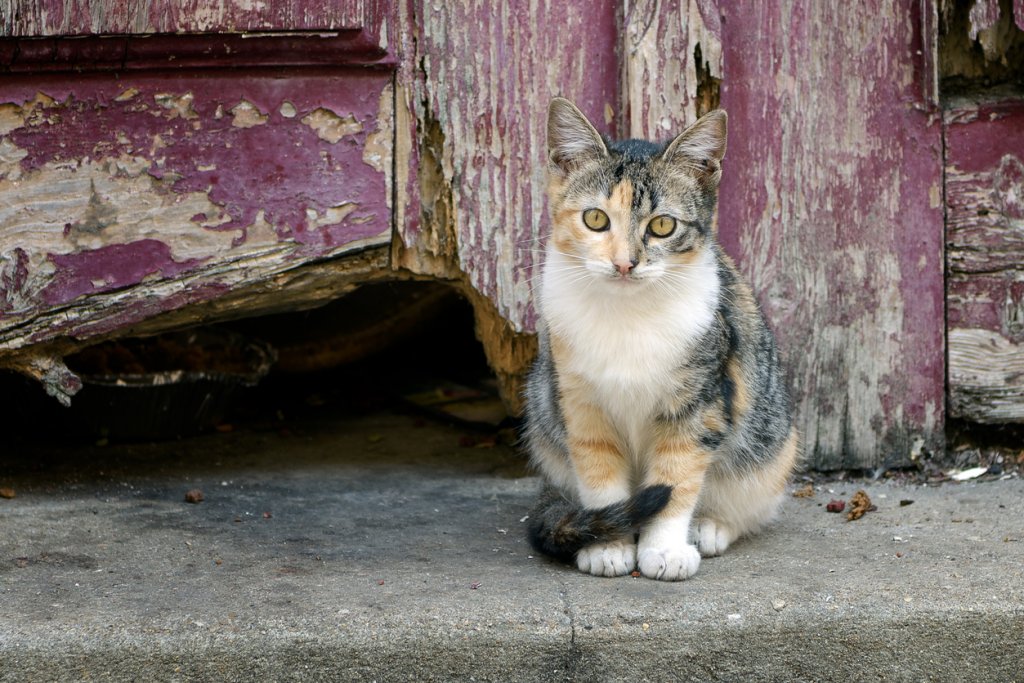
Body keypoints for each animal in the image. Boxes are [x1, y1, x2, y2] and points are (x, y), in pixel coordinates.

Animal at [520, 97, 798, 581]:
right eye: (595, 218)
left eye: (663, 226)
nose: (625, 263)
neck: (628, 314)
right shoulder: (580, 401)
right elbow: (598, 468)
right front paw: (608, 545)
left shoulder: (698, 401)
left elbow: (676, 476)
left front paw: (665, 549)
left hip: (771, 446)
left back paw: (709, 527)